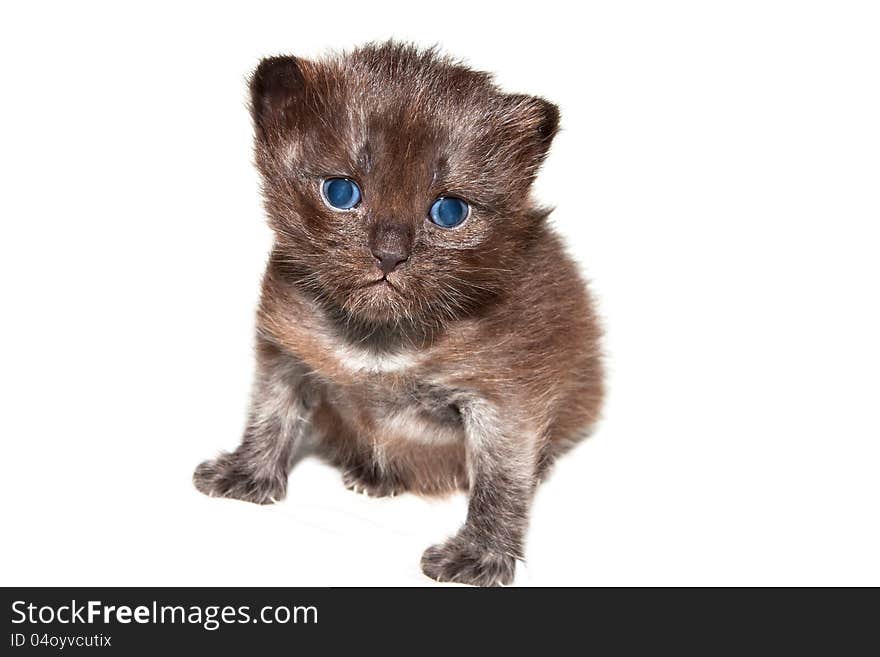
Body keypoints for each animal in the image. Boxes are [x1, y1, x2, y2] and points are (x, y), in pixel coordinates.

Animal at [193, 42, 604, 584]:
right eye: (341, 192)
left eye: (450, 211)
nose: (389, 255)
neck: (379, 337)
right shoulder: (286, 350)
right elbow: (270, 412)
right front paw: (247, 472)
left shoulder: (505, 399)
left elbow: (500, 482)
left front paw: (480, 554)